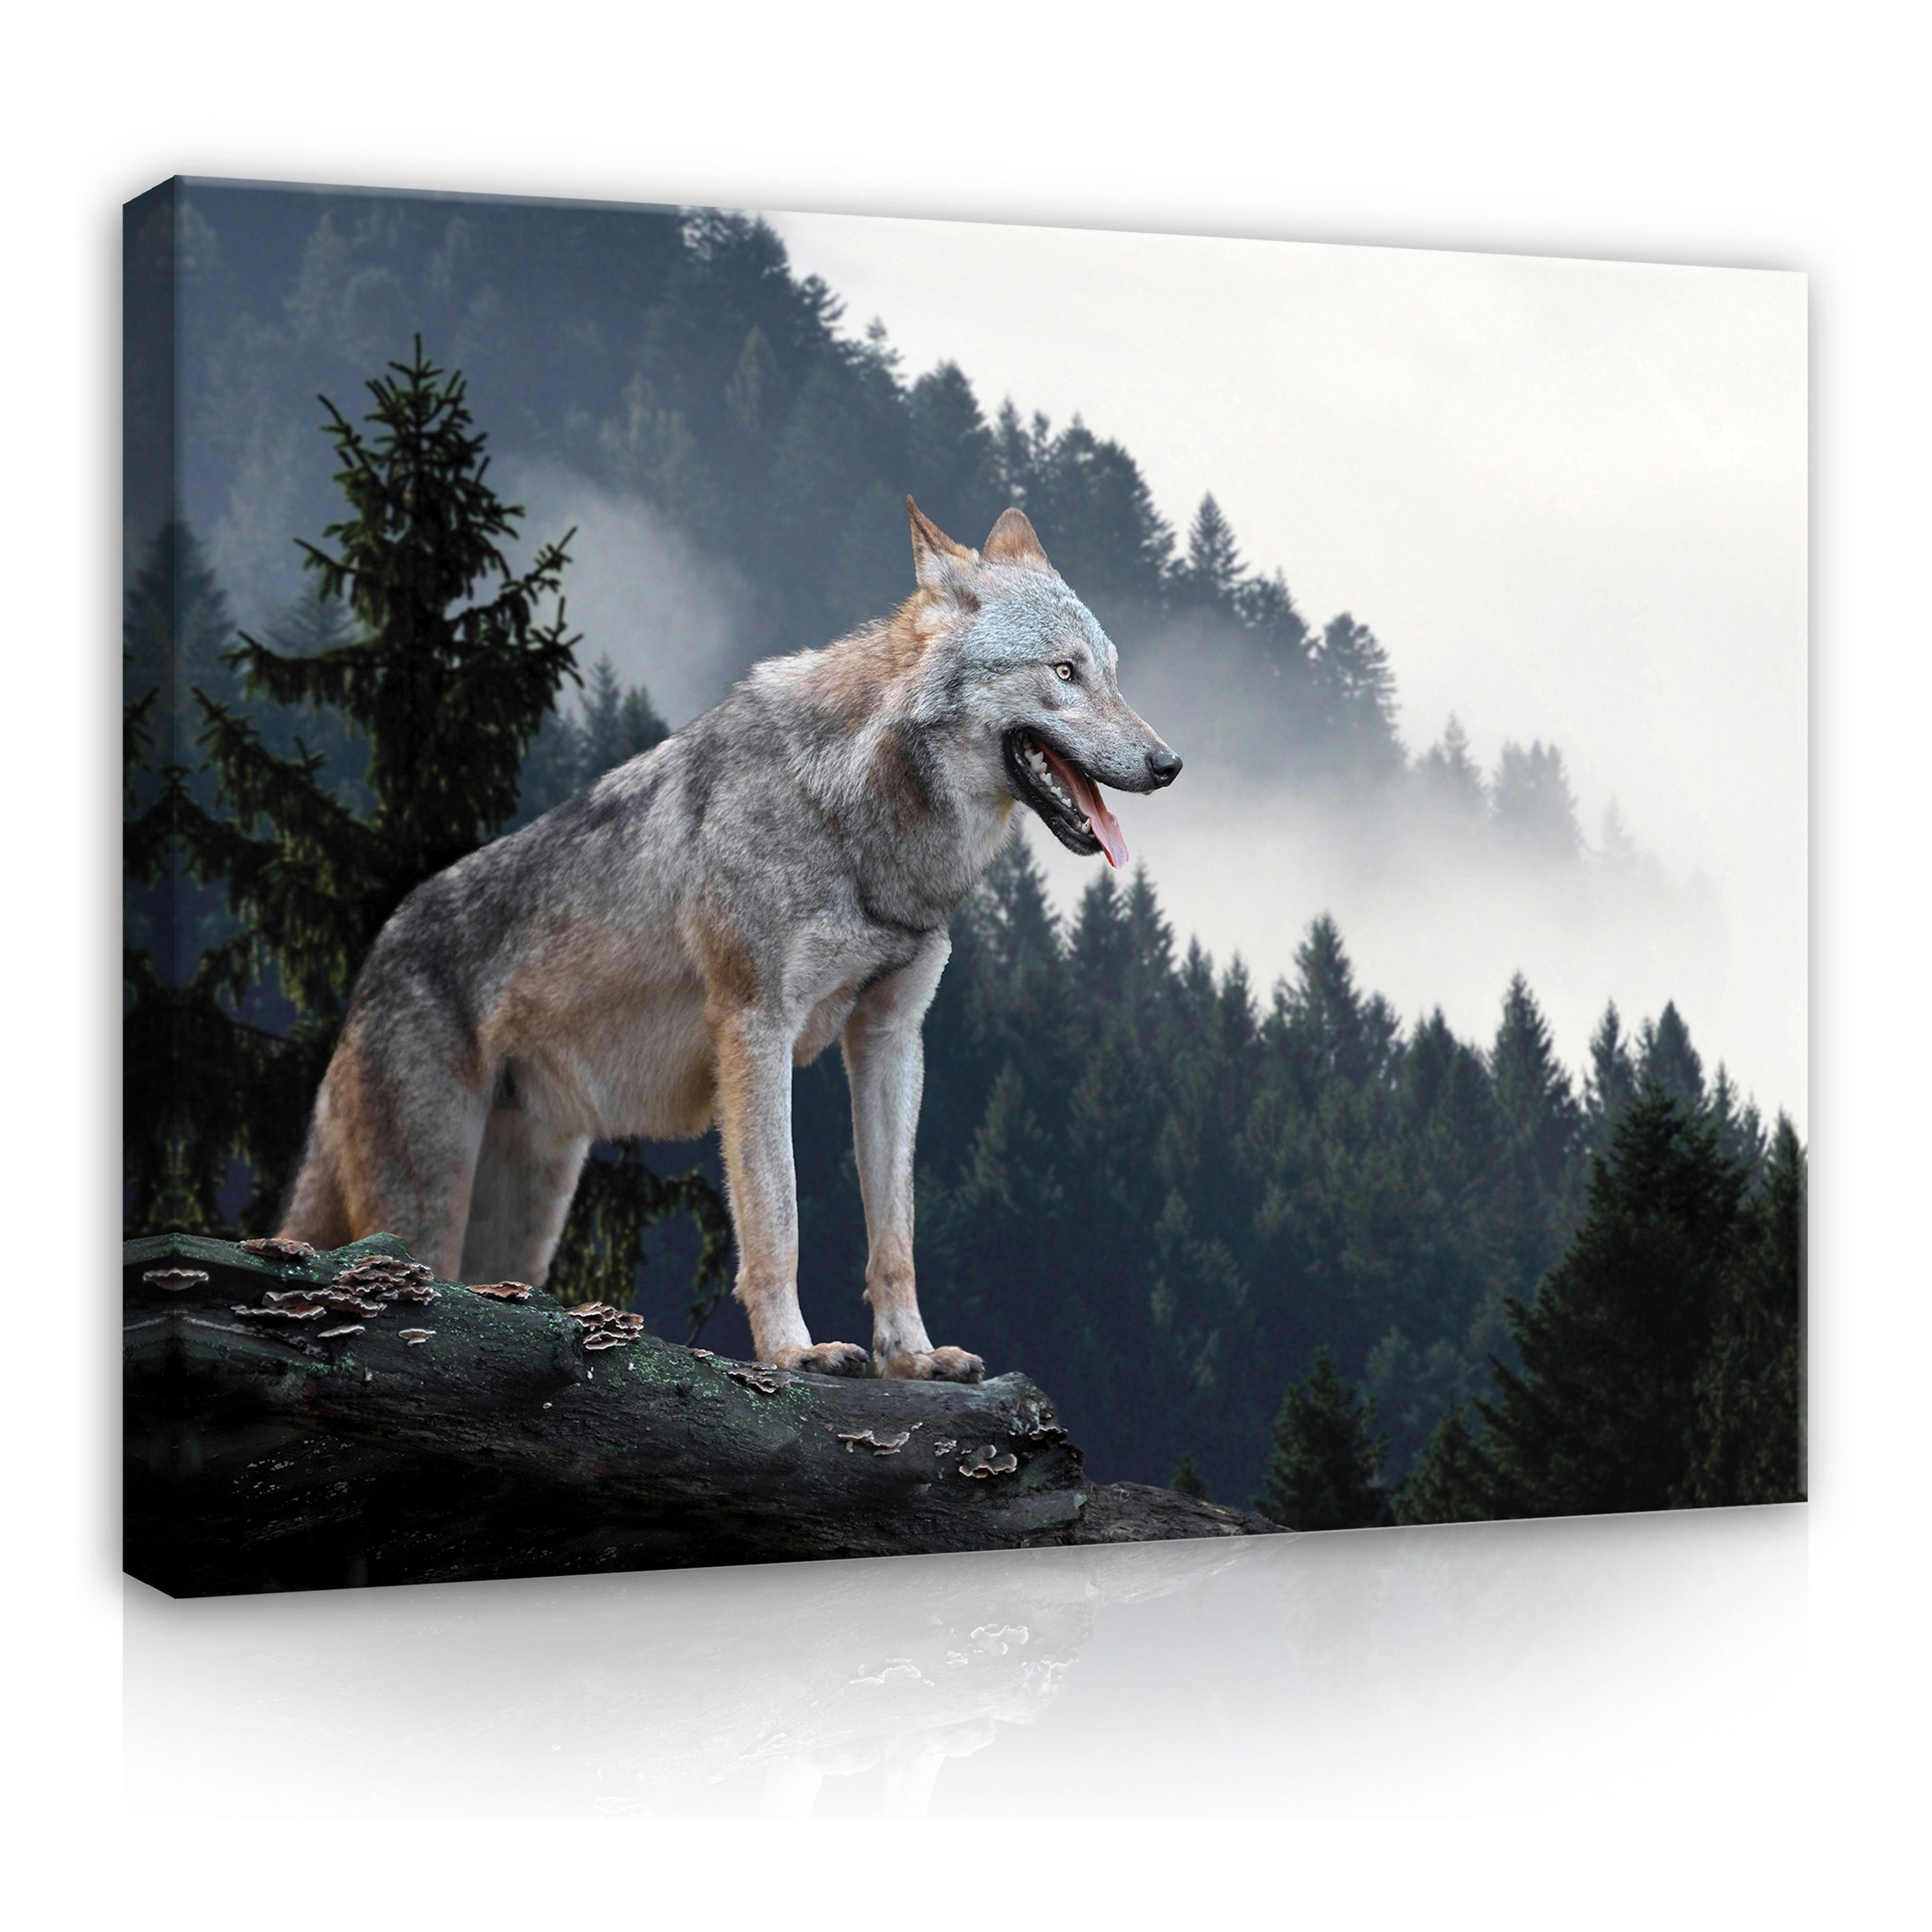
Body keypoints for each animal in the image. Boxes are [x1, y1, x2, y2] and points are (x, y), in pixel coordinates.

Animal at [278, 500, 1181, 1379]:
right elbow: (777, 1219)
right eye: (1063, 672)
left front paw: (913, 1357)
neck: (859, 821)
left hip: (525, 1220)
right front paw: (794, 1352)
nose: (1169, 764)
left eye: (1111, 672)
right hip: (430, 1205)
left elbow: (896, 1232)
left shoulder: (891, 1037)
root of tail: (375, 956)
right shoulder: (756, 1027)